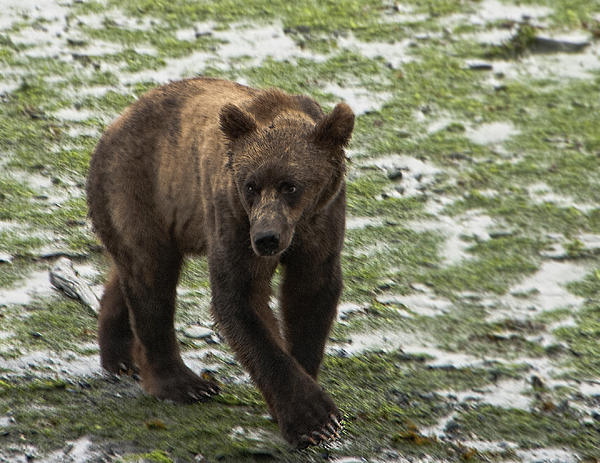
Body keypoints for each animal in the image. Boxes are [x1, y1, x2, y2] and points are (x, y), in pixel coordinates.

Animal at [86, 77, 354, 450]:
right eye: (251, 185)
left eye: (291, 186)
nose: (267, 238)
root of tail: (115, 124)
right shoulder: (233, 216)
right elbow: (241, 299)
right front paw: (314, 420)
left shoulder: (322, 222)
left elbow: (311, 294)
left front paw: (304, 391)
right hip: (139, 188)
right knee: (151, 280)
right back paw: (185, 384)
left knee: (129, 274)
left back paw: (120, 356)